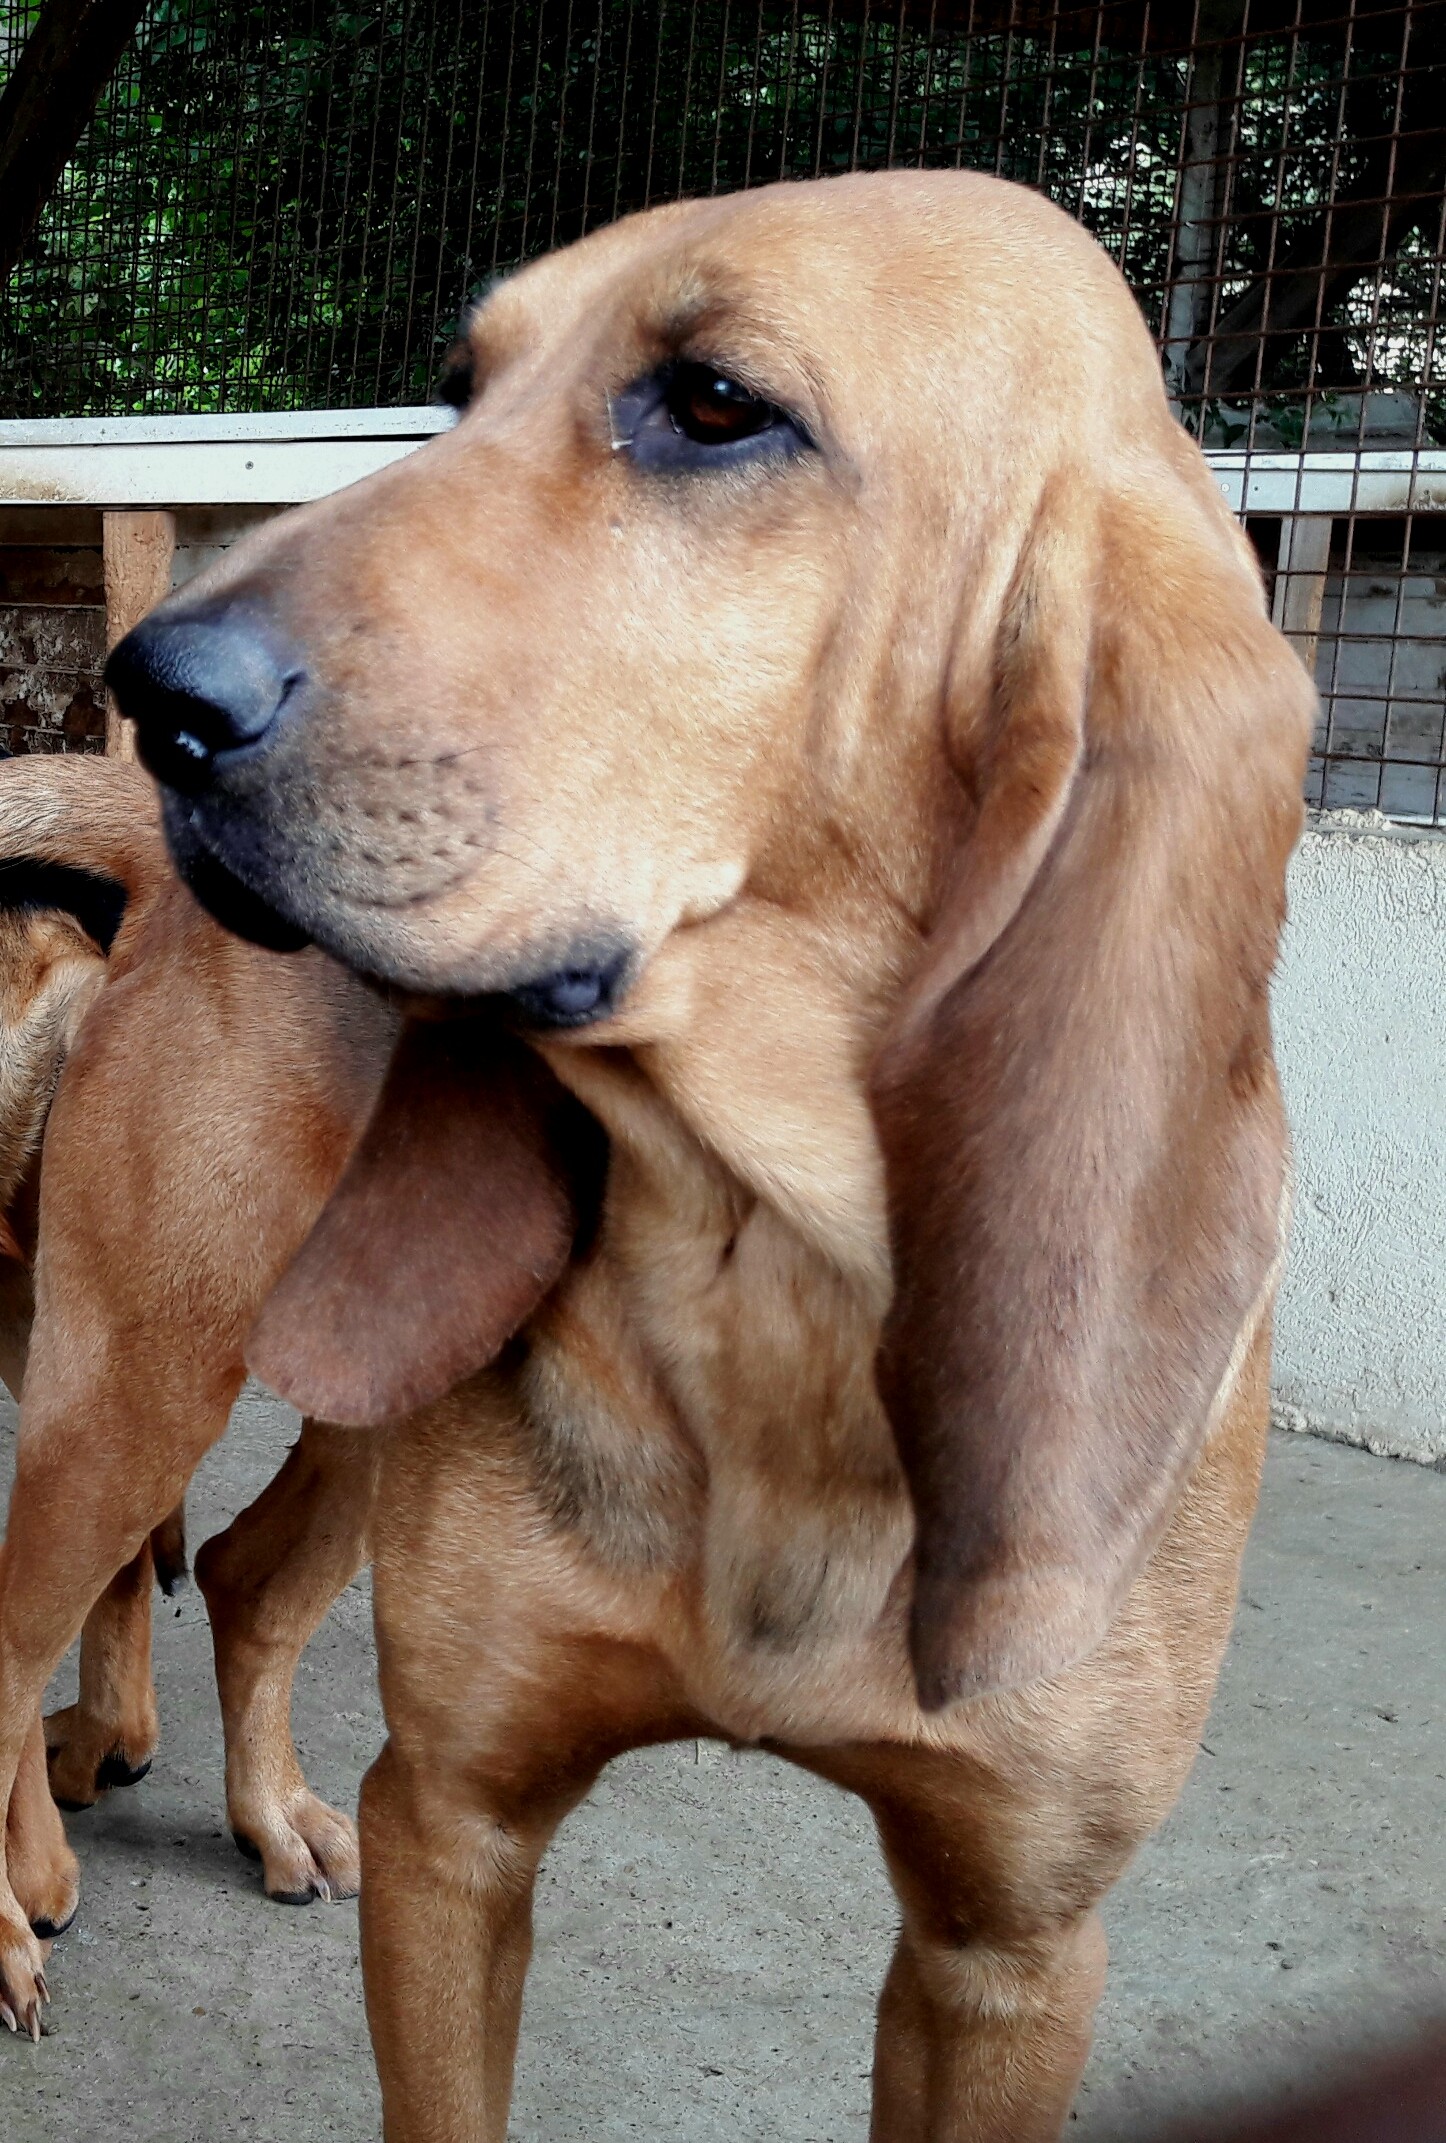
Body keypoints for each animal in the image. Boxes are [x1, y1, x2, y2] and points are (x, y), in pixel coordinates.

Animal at [104, 171, 1311, 2143]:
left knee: (255, 1571)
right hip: (148, 1368)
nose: (155, 692)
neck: (780, 1276)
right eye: (464, 386)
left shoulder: (1007, 1948)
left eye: (719, 404)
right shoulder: (458, 1819)